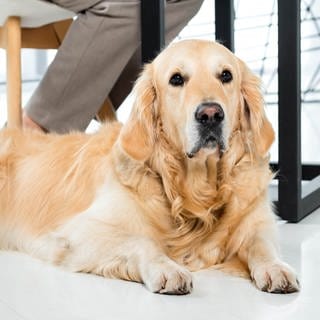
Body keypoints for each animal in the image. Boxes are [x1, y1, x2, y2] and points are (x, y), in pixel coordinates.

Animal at [0, 40, 300, 296]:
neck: (193, 189)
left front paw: (276, 268)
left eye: (226, 75)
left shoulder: (257, 222)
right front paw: (168, 268)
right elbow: (142, 241)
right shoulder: (79, 231)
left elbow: (261, 244)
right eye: (176, 79)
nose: (211, 115)